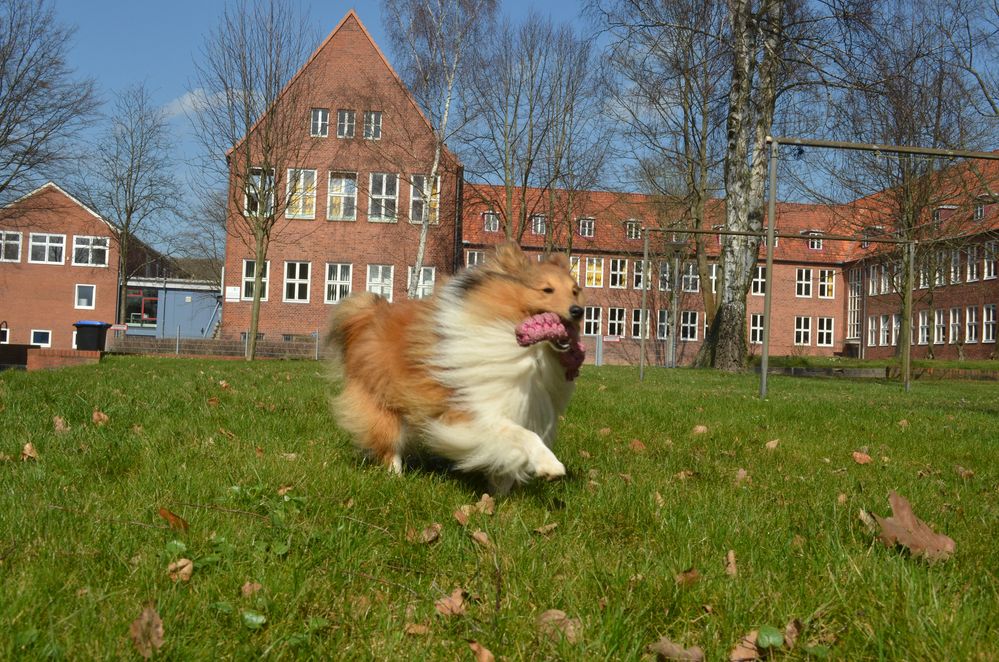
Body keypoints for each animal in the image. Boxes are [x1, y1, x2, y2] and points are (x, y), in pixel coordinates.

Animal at [326, 243, 584, 492]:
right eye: (547, 290)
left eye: (575, 290)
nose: (578, 311)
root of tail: (368, 313)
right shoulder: (471, 409)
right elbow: (520, 434)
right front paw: (549, 465)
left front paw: (500, 492)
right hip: (382, 401)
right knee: (389, 443)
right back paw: (396, 476)